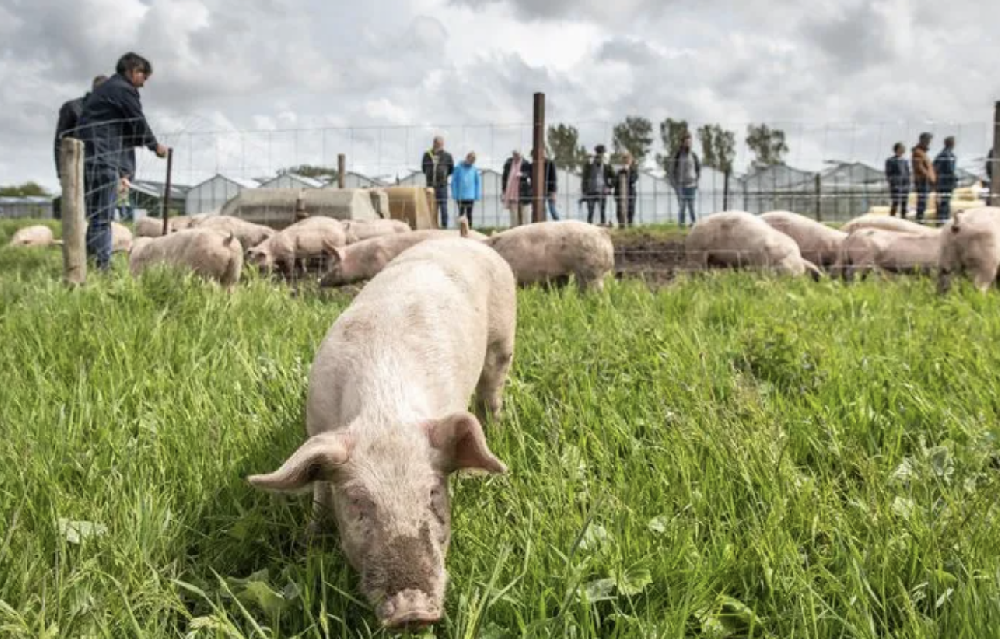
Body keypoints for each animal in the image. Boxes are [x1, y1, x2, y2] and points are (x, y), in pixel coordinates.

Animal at [244, 238, 516, 632]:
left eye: (433, 493)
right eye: (358, 501)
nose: (412, 612)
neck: (385, 408)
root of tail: (466, 239)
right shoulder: (317, 424)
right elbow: (320, 493)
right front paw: (309, 543)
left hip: (503, 338)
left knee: (492, 392)